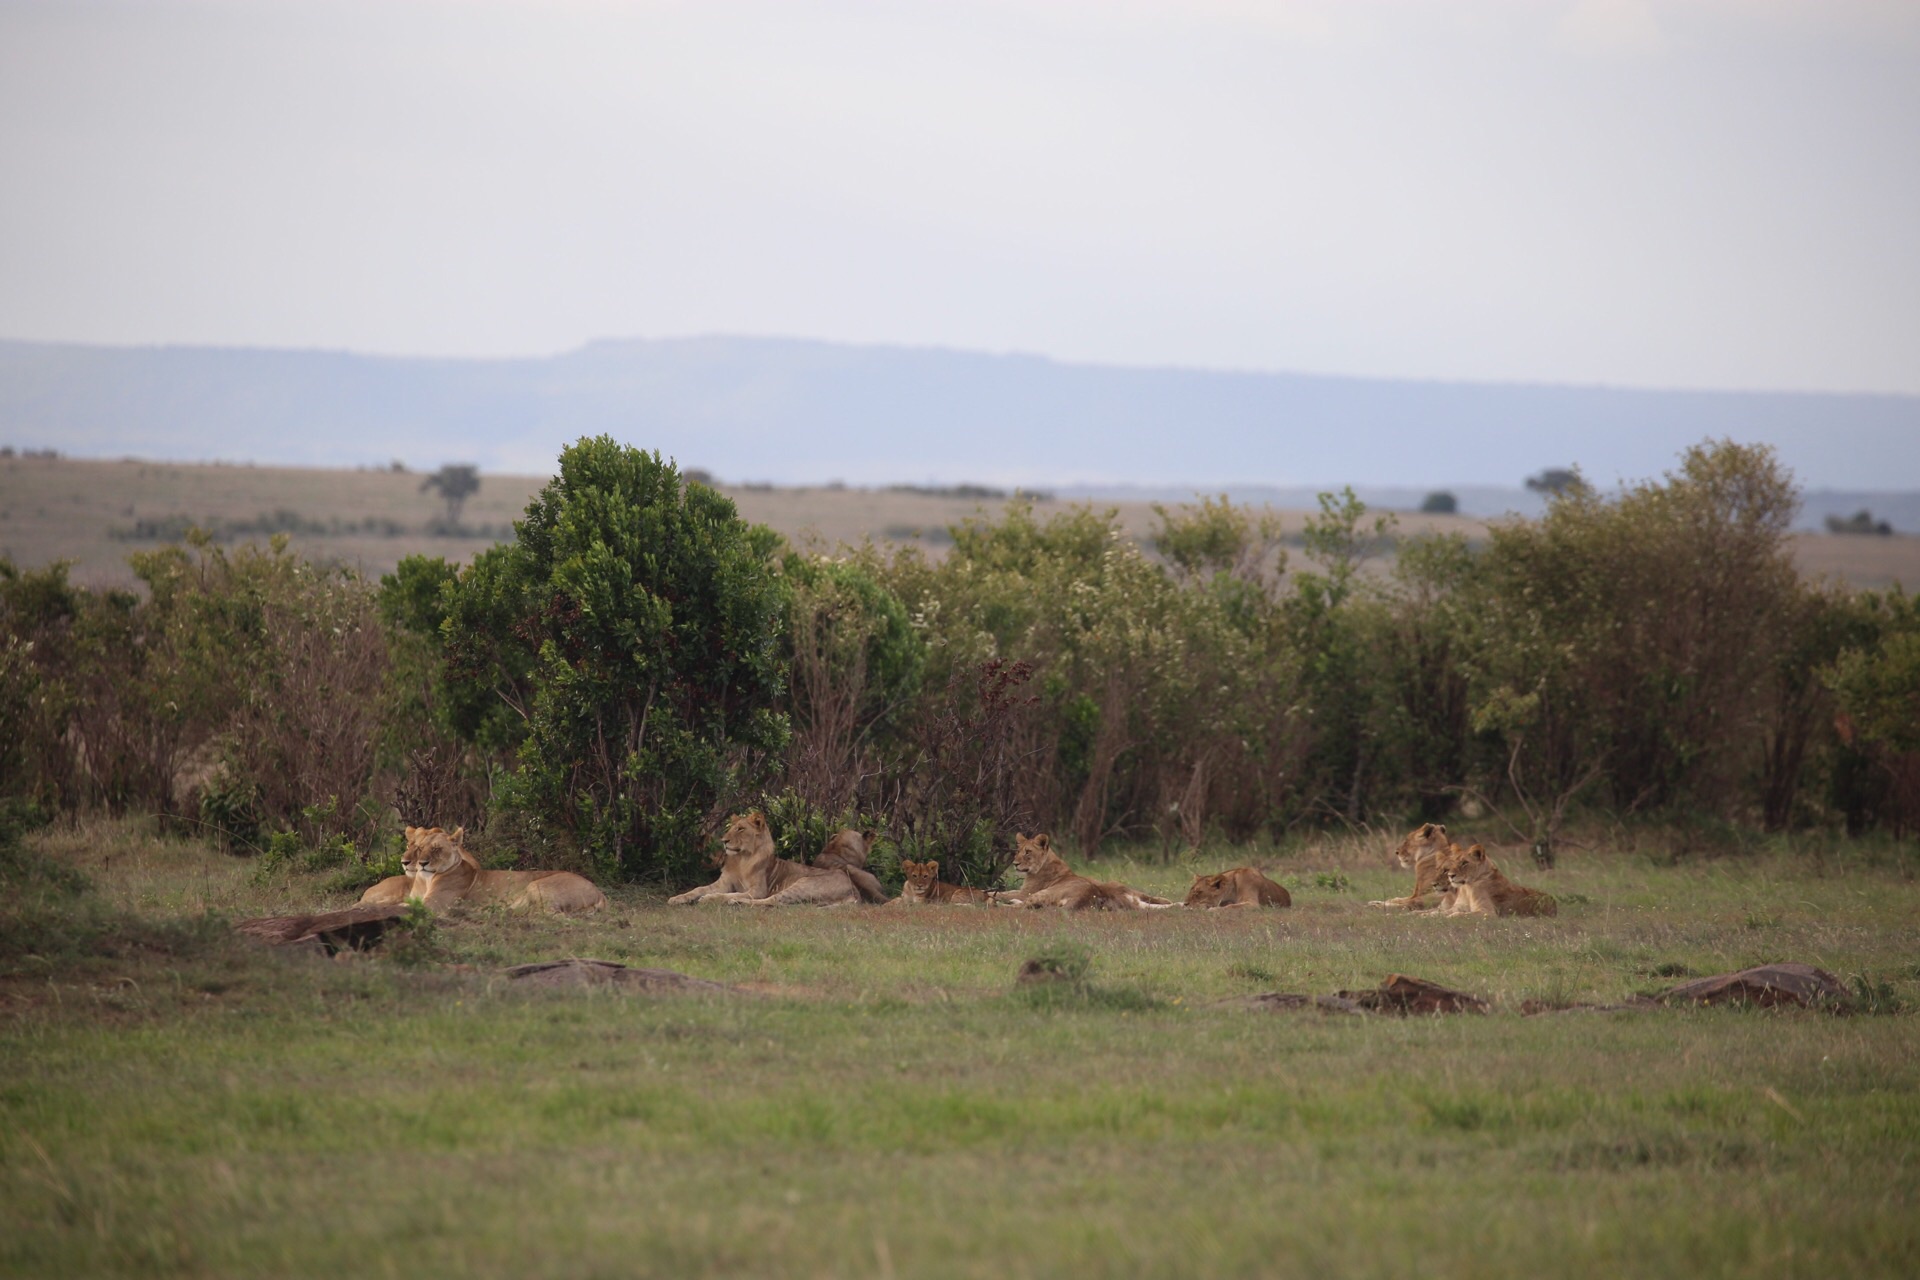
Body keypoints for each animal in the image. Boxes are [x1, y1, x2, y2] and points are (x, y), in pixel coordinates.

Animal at [357, 825, 602, 917]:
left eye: (435, 849)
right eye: (418, 847)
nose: (421, 863)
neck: (424, 880)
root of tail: (599, 891)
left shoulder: (433, 906)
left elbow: (398, 907)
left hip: (536, 885)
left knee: (550, 913)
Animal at [668, 817, 890, 905]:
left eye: (741, 829)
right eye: (731, 828)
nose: (724, 841)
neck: (741, 859)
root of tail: (853, 890)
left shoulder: (758, 890)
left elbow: (726, 894)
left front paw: (710, 899)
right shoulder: (724, 882)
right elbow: (698, 888)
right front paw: (677, 898)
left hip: (802, 884)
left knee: (771, 901)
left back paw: (736, 902)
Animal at [998, 832, 1175, 909]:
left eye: (1027, 852)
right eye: (1017, 851)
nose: (1015, 863)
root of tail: (1086, 894)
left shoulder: (1026, 892)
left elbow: (1003, 893)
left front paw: (995, 895)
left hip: (1041, 894)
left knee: (1020, 906)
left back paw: (998, 903)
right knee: (1150, 897)